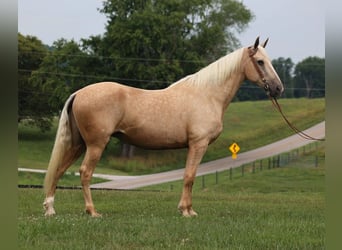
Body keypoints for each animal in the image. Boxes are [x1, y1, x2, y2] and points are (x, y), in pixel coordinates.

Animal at [42, 36, 284, 217]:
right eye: (260, 62)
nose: (278, 88)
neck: (207, 94)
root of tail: (79, 93)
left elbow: (189, 176)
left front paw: (187, 209)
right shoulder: (198, 144)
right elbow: (189, 176)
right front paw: (187, 211)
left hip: (78, 144)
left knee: (59, 170)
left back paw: (50, 209)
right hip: (95, 145)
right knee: (85, 173)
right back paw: (92, 211)